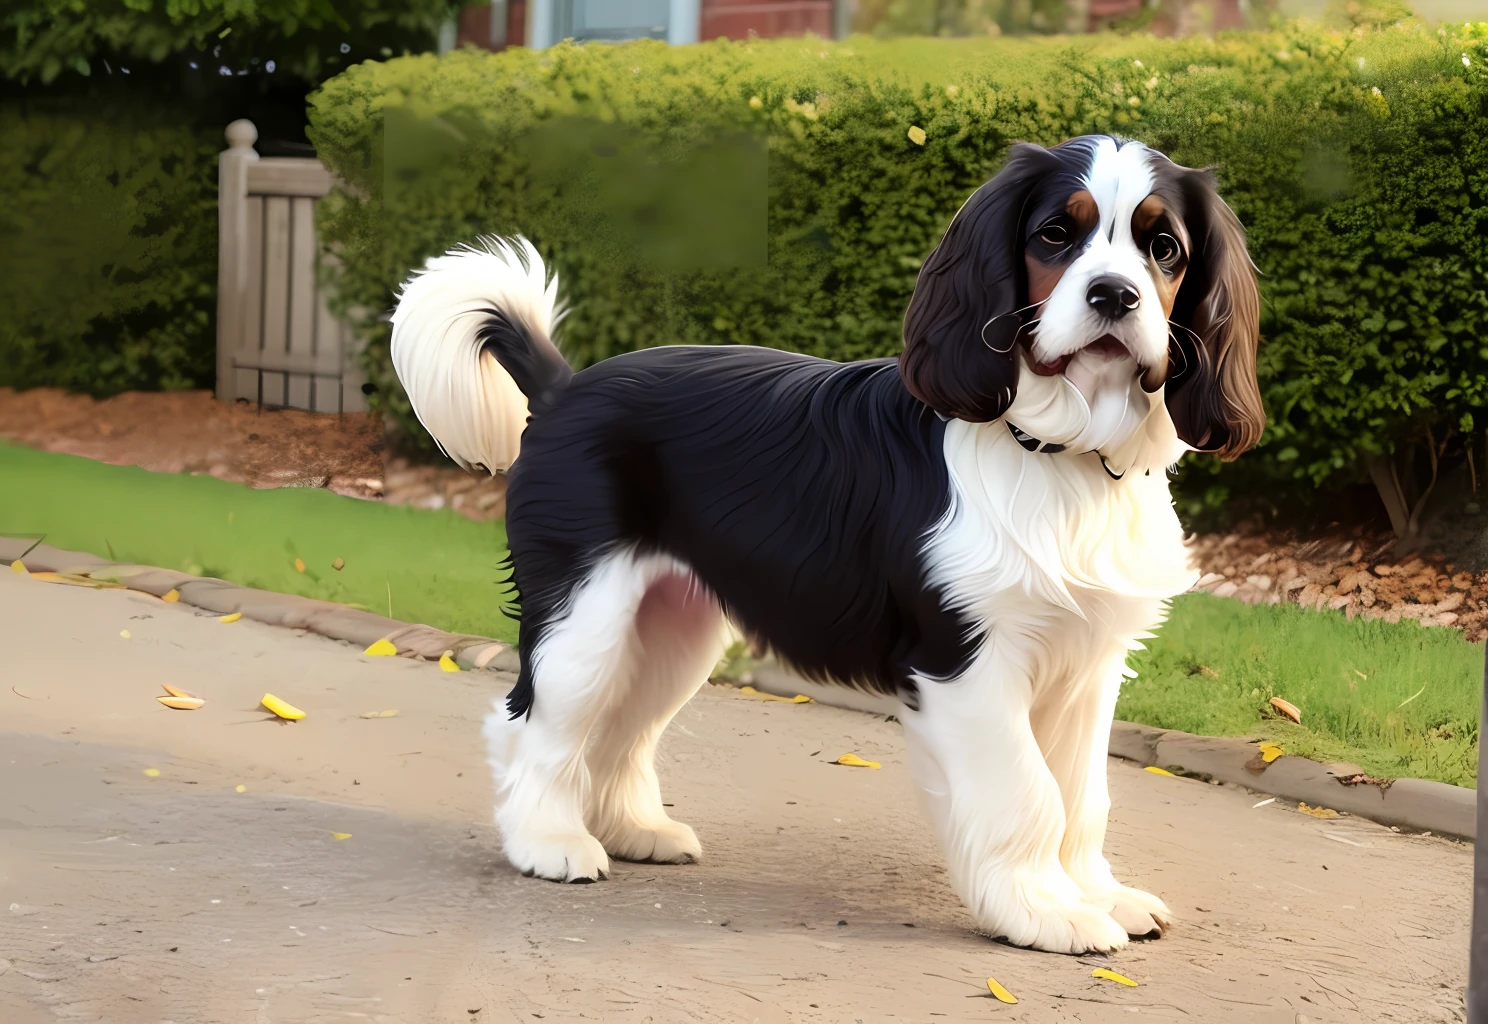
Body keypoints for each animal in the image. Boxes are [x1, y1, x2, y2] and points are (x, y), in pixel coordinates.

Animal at [389, 133, 1261, 952]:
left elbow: (1082, 796)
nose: (1115, 295)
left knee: (620, 729)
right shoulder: (966, 662)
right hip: (585, 618)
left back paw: (635, 830)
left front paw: (1098, 895)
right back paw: (548, 841)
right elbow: (1026, 793)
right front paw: (1045, 912)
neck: (1058, 454)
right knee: (534, 722)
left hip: (672, 629)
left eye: (1164, 248)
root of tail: (565, 386)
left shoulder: (1088, 665)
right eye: (1055, 234)